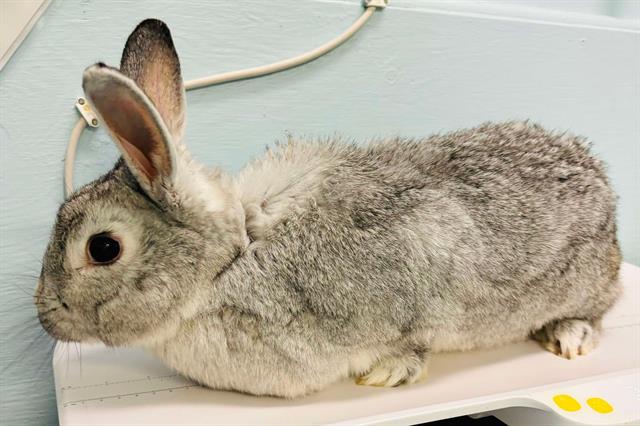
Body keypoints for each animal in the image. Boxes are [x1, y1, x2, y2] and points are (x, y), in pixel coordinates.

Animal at [33, 18, 620, 398]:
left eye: (102, 248)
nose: (45, 318)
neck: (227, 267)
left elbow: (413, 340)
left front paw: (386, 374)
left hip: (585, 281)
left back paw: (569, 336)